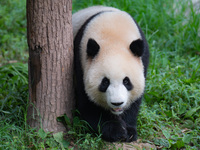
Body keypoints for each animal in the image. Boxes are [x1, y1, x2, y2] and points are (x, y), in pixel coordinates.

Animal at [72, 5, 149, 142]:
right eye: (105, 82)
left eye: (126, 81)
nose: (117, 103)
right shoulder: (80, 62)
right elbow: (89, 104)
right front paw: (116, 131)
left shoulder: (143, 59)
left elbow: (134, 103)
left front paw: (129, 131)